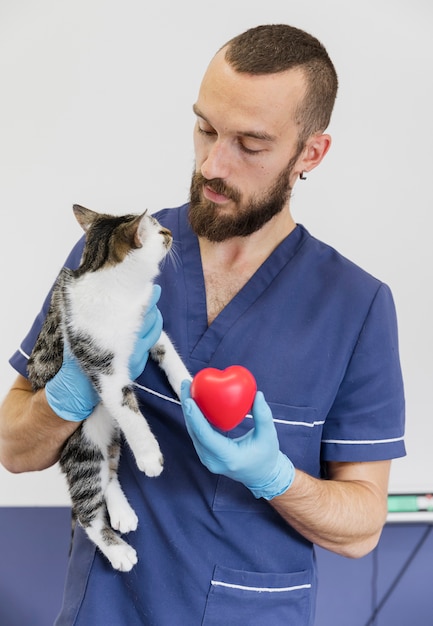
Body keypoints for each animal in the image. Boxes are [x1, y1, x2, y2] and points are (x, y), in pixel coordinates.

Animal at [26, 205, 190, 572]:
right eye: (159, 231)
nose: (172, 233)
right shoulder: (101, 364)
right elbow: (127, 407)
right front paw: (149, 455)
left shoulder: (147, 327)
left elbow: (169, 352)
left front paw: (189, 384)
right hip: (82, 444)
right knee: (87, 506)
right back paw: (118, 551)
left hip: (106, 437)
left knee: (109, 471)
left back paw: (122, 512)